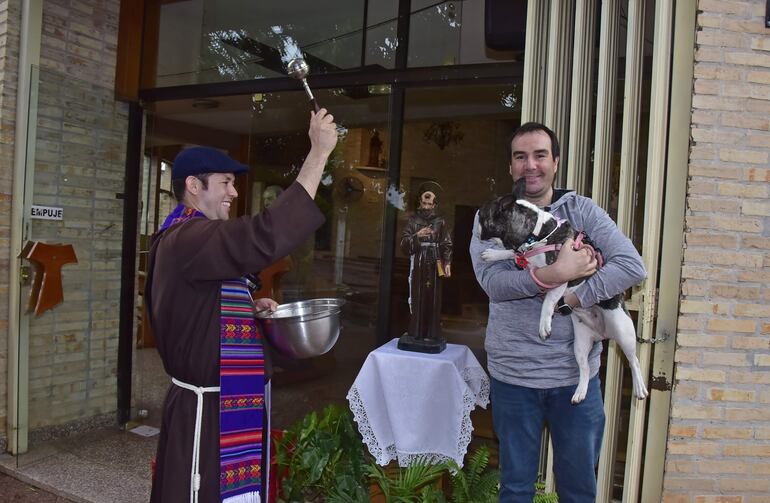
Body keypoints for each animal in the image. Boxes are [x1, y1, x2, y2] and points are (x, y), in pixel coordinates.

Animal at [474, 185, 648, 406]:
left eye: (481, 214)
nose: (475, 226)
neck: (537, 233)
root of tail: (603, 334)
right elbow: (512, 254)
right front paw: (493, 254)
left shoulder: (562, 274)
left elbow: (547, 302)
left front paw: (544, 325)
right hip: (580, 345)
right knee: (585, 368)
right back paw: (580, 393)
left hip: (623, 331)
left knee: (634, 360)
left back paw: (639, 387)